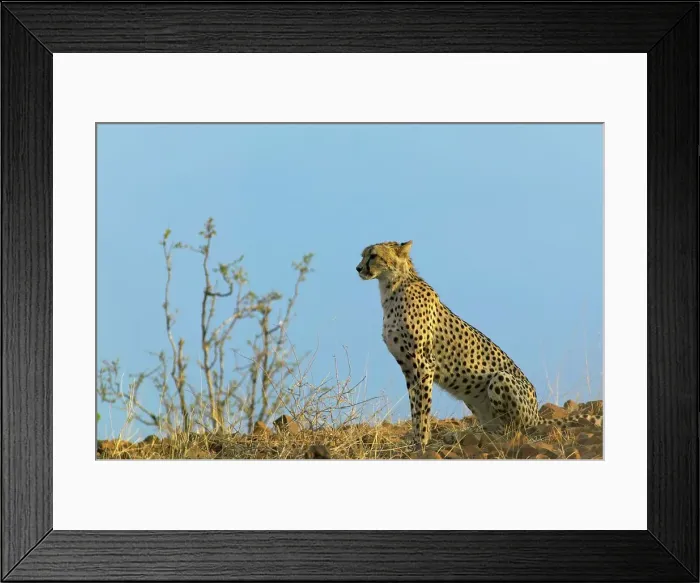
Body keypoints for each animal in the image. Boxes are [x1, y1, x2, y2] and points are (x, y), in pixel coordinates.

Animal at [356, 240, 602, 452]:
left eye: (373, 255)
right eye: (363, 255)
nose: (357, 268)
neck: (392, 286)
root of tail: (536, 415)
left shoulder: (423, 364)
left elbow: (422, 408)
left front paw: (421, 443)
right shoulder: (408, 367)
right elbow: (415, 406)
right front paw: (416, 440)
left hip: (501, 379)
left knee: (514, 430)